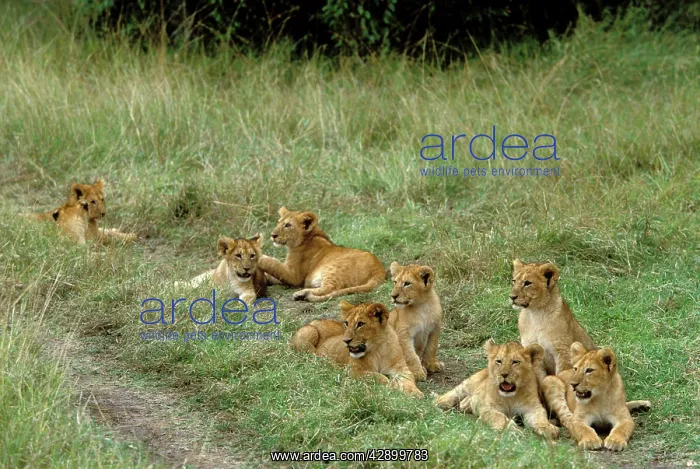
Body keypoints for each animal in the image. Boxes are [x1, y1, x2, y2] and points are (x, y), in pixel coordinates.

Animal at [292, 301, 423, 398]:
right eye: (346, 323)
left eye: (360, 324)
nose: (345, 340)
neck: (378, 350)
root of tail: (314, 321)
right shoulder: (353, 371)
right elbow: (377, 376)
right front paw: (391, 384)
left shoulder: (400, 368)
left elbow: (408, 379)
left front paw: (414, 392)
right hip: (309, 332)